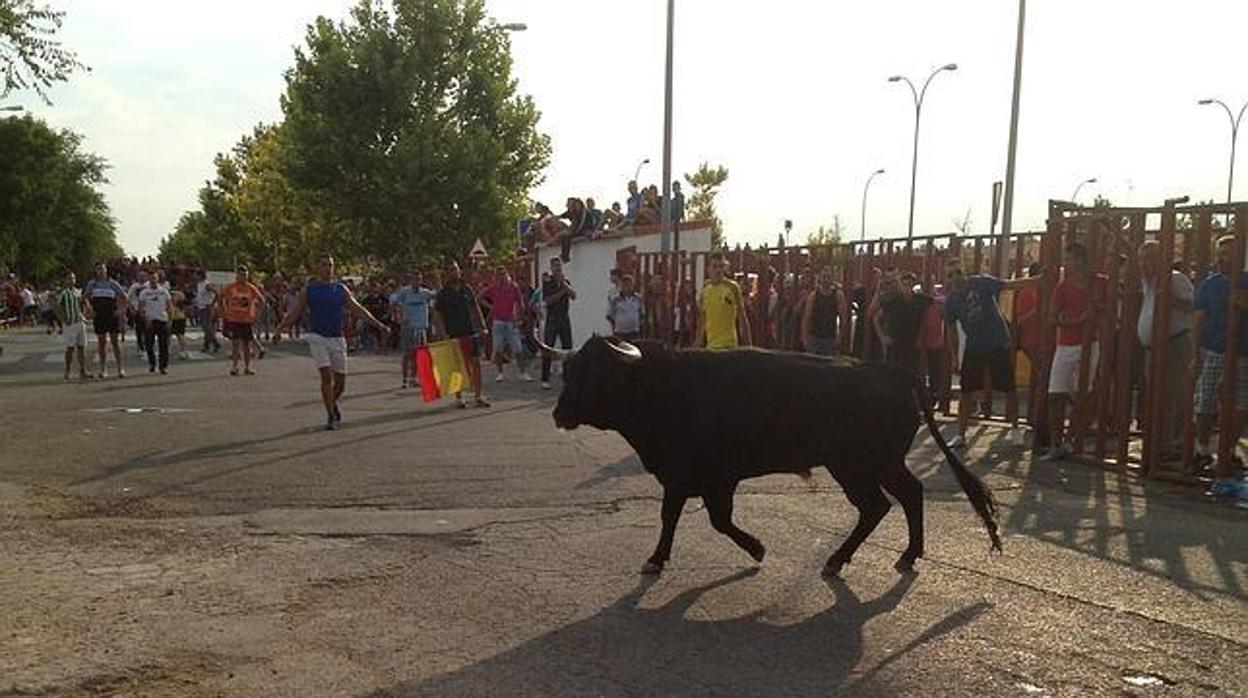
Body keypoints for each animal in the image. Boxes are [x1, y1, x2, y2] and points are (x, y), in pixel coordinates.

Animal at [541, 337, 998, 576]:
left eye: (597, 373)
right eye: (571, 369)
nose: (559, 413)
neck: (663, 386)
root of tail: (889, 370)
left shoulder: (701, 476)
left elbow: (700, 518)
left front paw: (751, 549)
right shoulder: (695, 478)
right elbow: (696, 518)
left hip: (858, 466)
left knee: (880, 504)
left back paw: (840, 558)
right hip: (879, 463)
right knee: (906, 496)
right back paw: (903, 554)